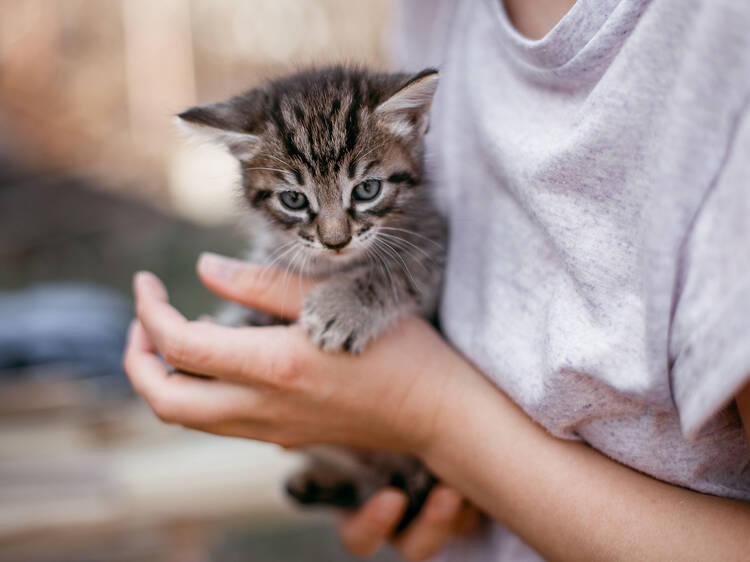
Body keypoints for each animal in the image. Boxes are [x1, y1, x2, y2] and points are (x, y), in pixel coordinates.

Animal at [176, 64, 446, 524]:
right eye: (293, 199)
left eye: (367, 190)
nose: (335, 241)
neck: (331, 267)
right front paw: (233, 325)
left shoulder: (436, 244)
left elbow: (396, 272)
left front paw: (342, 308)